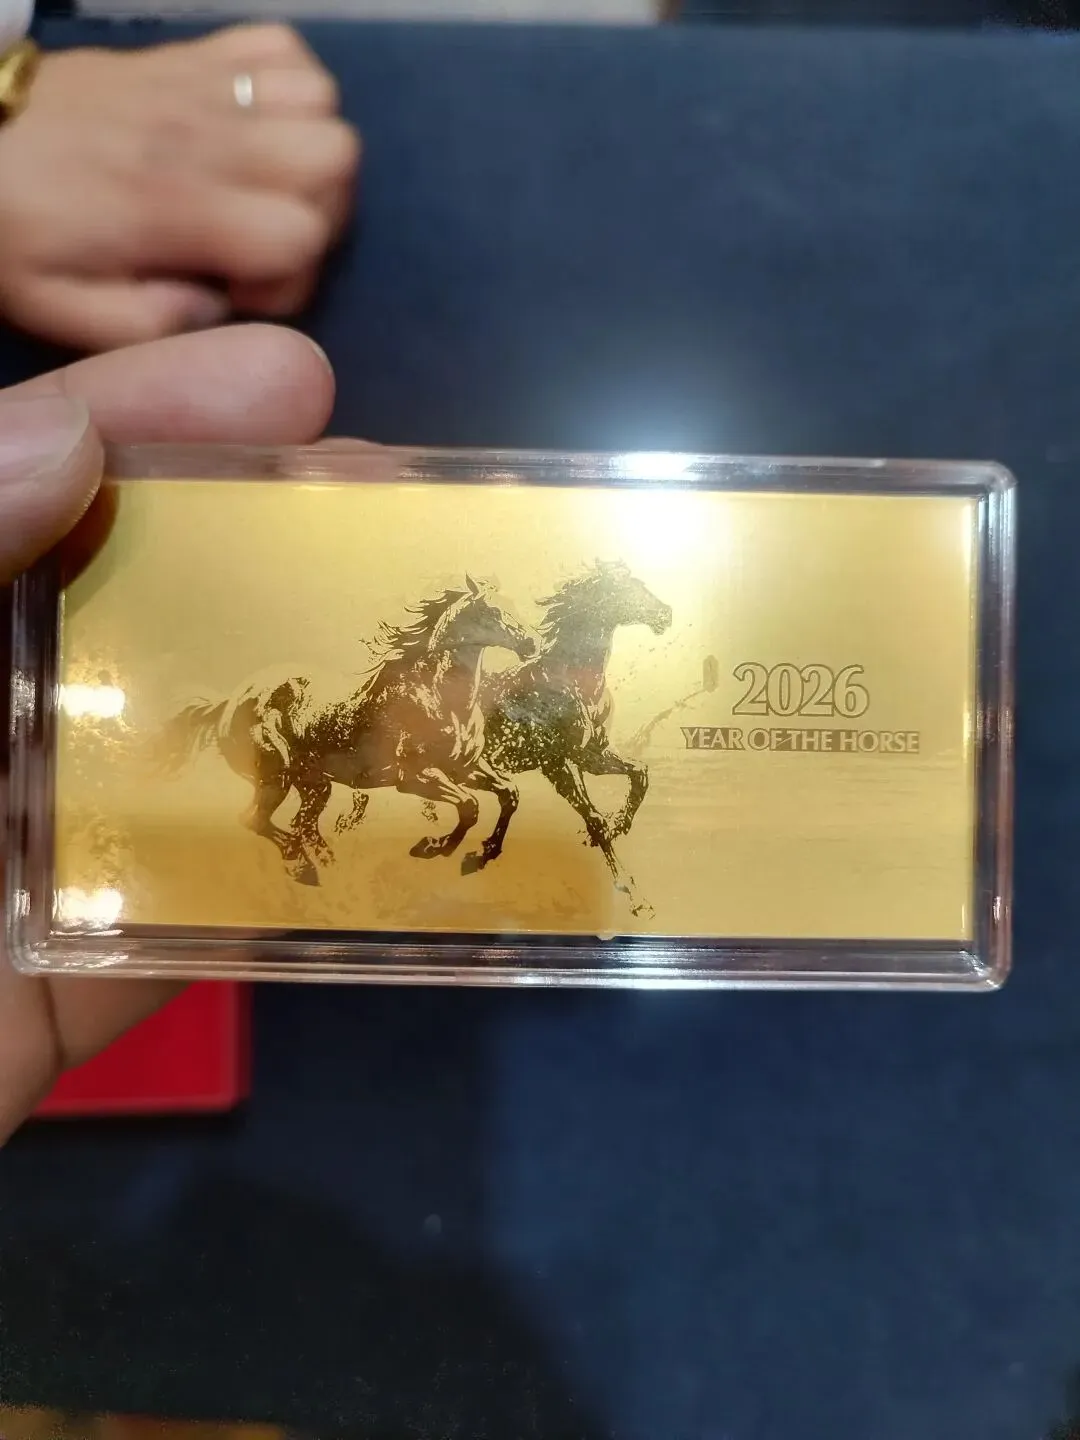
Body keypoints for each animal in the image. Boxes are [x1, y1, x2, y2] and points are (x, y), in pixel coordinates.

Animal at [151, 577, 537, 885]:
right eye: (492, 612)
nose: (531, 645)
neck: (437, 694)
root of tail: (228, 703)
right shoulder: (416, 777)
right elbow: (470, 806)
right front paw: (432, 847)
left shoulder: (465, 768)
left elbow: (509, 794)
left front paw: (483, 854)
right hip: (276, 776)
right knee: (257, 821)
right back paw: (305, 869)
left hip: (314, 783)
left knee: (301, 824)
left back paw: (326, 865)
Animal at [480, 560, 672, 917]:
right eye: (627, 589)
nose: (666, 614)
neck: (573, 683)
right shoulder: (556, 763)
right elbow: (594, 818)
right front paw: (635, 897)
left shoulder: (591, 755)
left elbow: (640, 774)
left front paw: (618, 823)